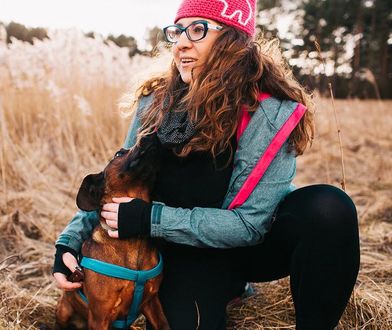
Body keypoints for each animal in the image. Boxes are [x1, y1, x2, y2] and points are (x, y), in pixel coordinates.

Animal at [56, 135, 169, 330]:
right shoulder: (100, 316)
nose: (151, 134)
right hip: (63, 308)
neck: (133, 240)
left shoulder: (152, 302)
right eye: (118, 154)